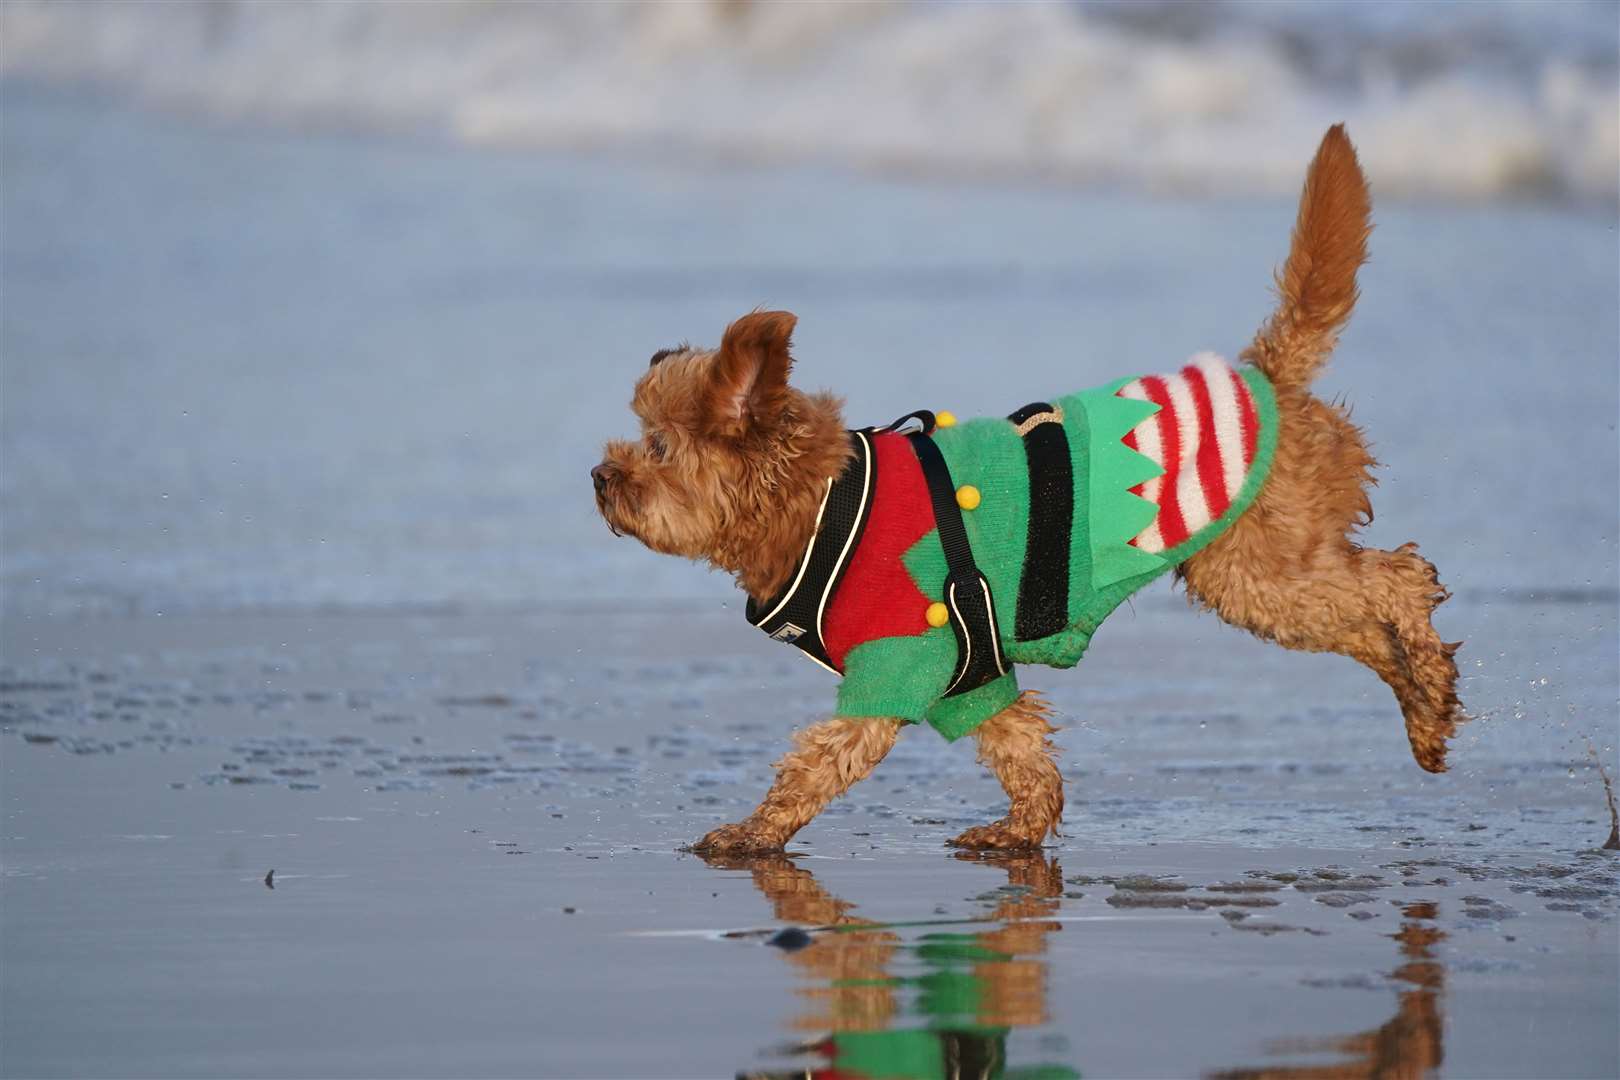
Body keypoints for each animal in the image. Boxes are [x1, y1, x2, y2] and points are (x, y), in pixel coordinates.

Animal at [596, 127, 1470, 854]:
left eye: (658, 446)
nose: (600, 477)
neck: (821, 507)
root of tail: (1266, 374)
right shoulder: (972, 675)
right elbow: (1021, 750)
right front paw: (1021, 831)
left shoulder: (898, 665)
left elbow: (818, 762)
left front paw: (752, 832)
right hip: (1270, 577)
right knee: (1369, 624)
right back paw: (1425, 713)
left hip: (1260, 571)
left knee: (1401, 581)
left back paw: (1429, 678)